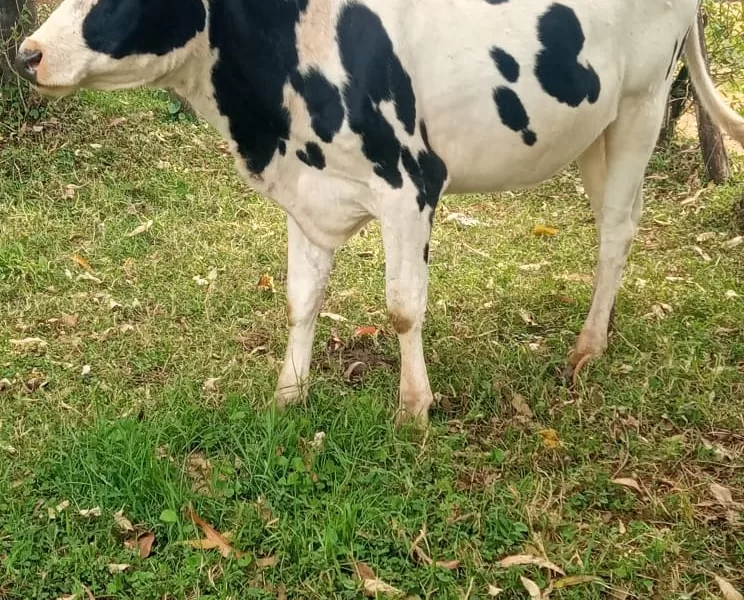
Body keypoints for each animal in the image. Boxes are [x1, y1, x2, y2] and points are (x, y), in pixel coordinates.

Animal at [16, 0, 744, 426]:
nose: (25, 53)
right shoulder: (308, 190)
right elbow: (301, 298)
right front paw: (289, 394)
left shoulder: (410, 183)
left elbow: (402, 306)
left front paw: (413, 409)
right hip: (594, 128)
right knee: (617, 221)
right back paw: (605, 327)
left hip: (642, 104)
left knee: (617, 230)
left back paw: (587, 348)